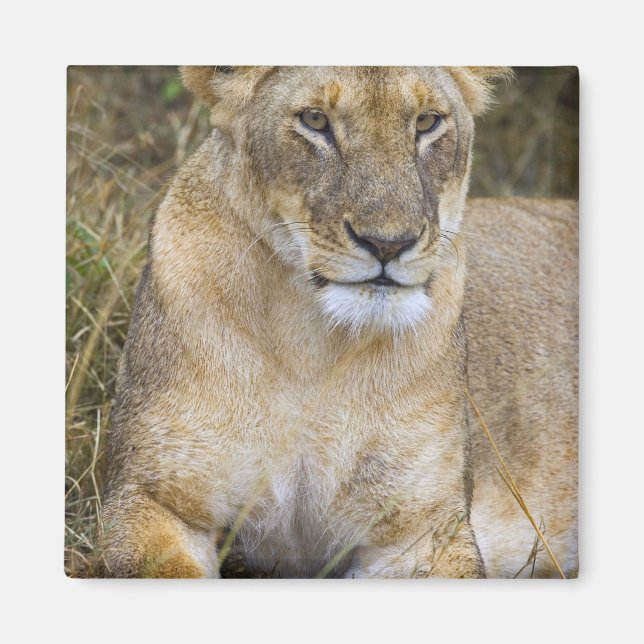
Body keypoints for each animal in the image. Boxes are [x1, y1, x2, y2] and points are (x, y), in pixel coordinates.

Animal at [99, 66, 578, 578]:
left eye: (426, 121)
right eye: (315, 120)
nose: (389, 243)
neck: (311, 345)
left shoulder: (424, 533)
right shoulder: (150, 500)